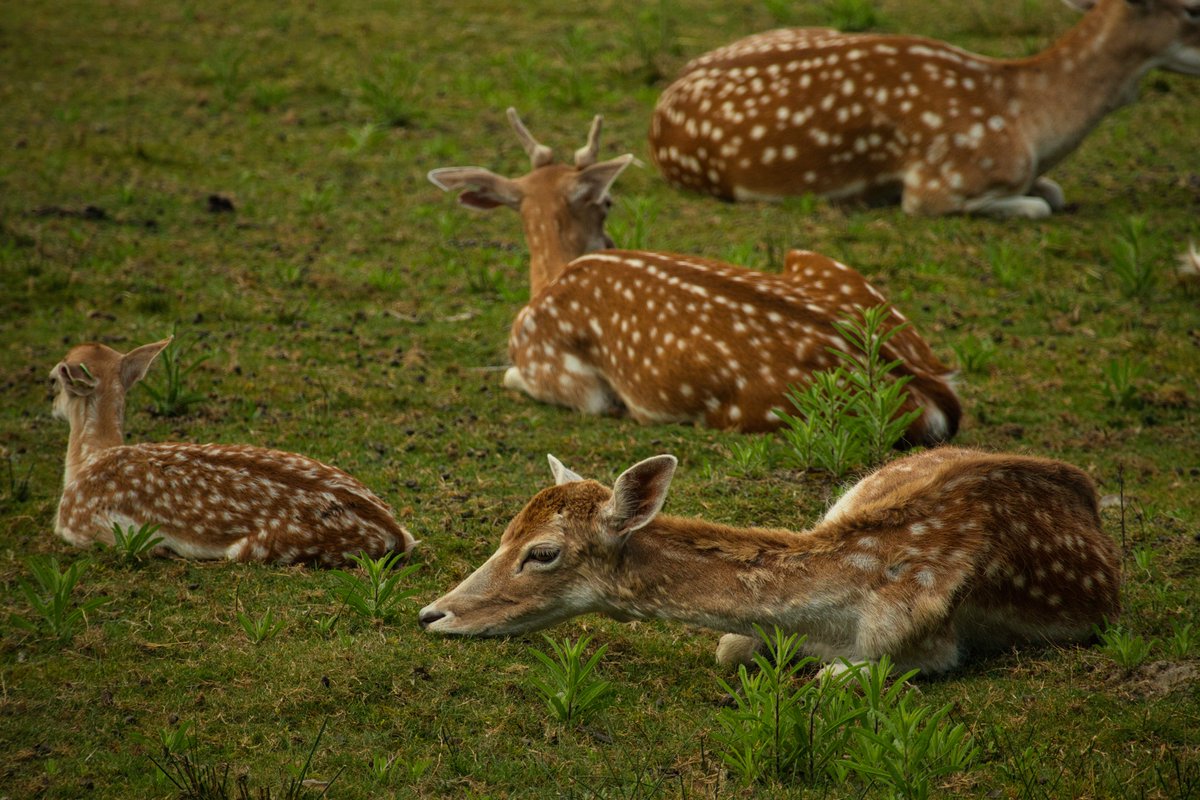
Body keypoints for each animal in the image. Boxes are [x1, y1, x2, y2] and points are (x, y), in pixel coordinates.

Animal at [50, 338, 416, 565]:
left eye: (52, 380)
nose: (51, 406)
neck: (89, 459)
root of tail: (396, 534)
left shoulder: (77, 524)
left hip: (263, 547)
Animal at [419, 449, 1121, 675]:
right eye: (505, 531)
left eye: (541, 552)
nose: (432, 615)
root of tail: (1087, 488)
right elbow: (729, 648)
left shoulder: (921, 644)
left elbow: (843, 676)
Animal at [428, 108, 961, 444]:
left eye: (608, 200)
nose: (610, 242)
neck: (550, 278)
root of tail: (934, 390)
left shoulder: (558, 372)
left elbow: (512, 376)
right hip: (827, 266)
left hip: (764, 410)